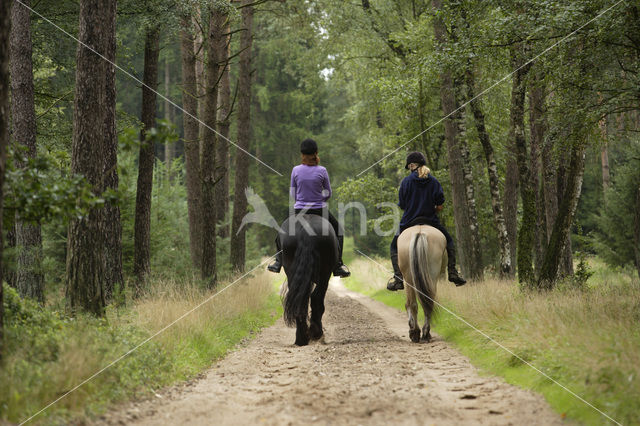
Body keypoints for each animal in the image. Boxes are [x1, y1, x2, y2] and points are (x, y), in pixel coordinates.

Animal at [280, 213, 340, 346]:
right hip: (325, 274)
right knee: (316, 298)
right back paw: (316, 333)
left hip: (291, 271)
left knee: (300, 300)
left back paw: (301, 338)